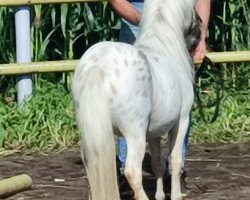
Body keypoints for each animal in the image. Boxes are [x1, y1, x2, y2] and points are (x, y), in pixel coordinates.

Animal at [72, 0, 199, 200]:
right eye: (193, 8)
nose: (198, 33)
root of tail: (98, 66)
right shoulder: (182, 121)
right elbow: (175, 160)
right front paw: (176, 195)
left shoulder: (154, 132)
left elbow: (158, 164)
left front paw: (160, 195)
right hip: (134, 135)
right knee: (132, 171)